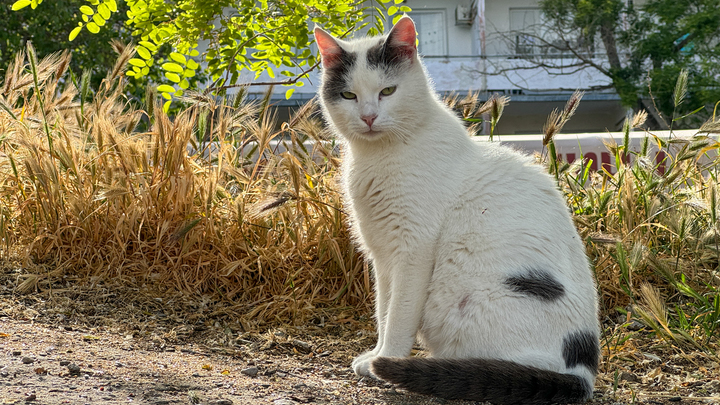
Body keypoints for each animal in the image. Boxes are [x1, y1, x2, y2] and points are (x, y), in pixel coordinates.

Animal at [316, 16, 600, 404]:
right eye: (348, 96)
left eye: (388, 91)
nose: (369, 116)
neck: (379, 156)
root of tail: (583, 372)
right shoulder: (383, 255)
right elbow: (383, 309)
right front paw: (376, 353)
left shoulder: (413, 251)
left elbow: (399, 314)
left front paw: (386, 358)